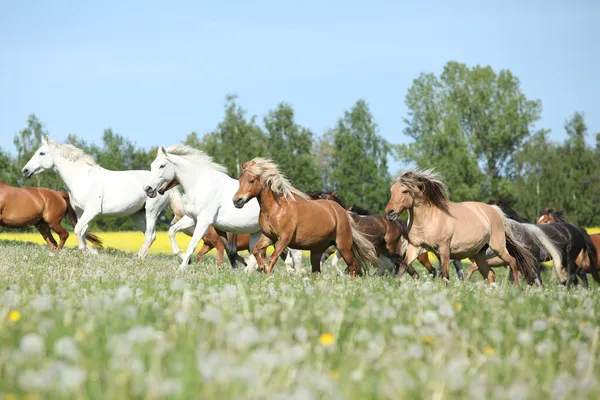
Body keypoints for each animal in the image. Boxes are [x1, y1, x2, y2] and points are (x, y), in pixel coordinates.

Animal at [22, 137, 170, 256]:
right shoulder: (80, 212)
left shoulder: (92, 211)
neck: (82, 178)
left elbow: (78, 230)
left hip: (151, 211)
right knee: (148, 235)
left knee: (150, 236)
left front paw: (84, 250)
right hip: (136, 215)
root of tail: (164, 184)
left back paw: (139, 258)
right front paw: (92, 253)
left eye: (41, 153)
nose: (25, 170)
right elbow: (83, 231)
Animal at [146, 145, 304, 274]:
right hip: (259, 233)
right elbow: (172, 231)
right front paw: (181, 256)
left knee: (295, 255)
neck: (200, 184)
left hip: (283, 235)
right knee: (256, 256)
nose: (148, 189)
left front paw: (182, 268)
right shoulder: (192, 218)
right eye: (152, 165)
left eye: (162, 166)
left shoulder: (204, 221)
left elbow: (192, 245)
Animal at [231, 157, 378, 278]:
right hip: (317, 250)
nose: (237, 201)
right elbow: (256, 249)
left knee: (353, 266)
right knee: (316, 271)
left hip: (343, 246)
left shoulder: (284, 238)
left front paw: (267, 275)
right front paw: (262, 267)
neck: (276, 208)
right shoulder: (269, 237)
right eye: (240, 180)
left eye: (251, 180)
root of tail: (342, 212)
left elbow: (273, 257)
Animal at [384, 169, 540, 284]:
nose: (389, 213)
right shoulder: (415, 247)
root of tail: (494, 210)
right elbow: (402, 267)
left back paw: (516, 288)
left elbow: (445, 275)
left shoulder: (444, 250)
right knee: (491, 274)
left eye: (405, 191)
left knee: (513, 262)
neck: (429, 220)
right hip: (479, 255)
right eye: (391, 191)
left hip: (498, 247)